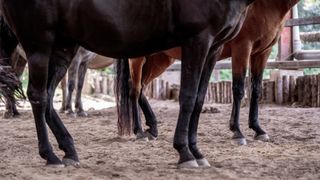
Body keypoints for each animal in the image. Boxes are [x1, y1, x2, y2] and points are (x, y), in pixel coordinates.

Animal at [0, 0, 255, 169]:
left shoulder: (213, 48)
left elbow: (200, 99)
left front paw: (197, 151)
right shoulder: (197, 40)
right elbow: (188, 97)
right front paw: (185, 153)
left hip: (64, 46)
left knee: (48, 95)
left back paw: (69, 150)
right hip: (39, 46)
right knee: (38, 95)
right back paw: (50, 155)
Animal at [127, 0, 300, 144]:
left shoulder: (263, 53)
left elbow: (256, 90)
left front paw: (258, 130)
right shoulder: (242, 48)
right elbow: (238, 90)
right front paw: (237, 132)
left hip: (159, 59)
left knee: (142, 88)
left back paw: (152, 128)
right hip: (138, 58)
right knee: (134, 90)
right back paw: (139, 132)